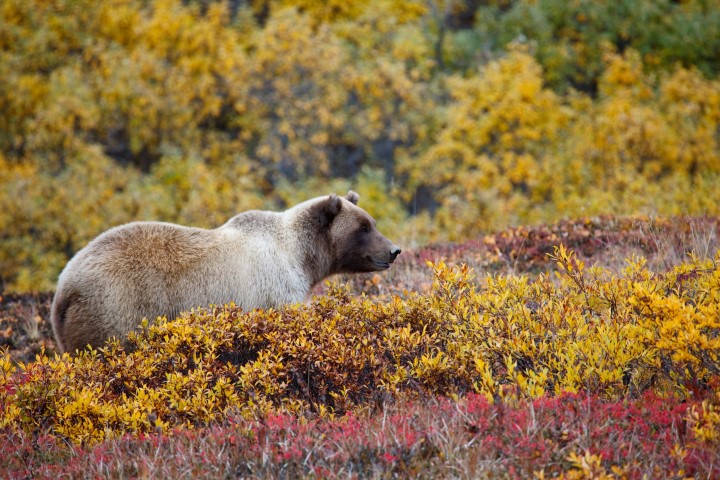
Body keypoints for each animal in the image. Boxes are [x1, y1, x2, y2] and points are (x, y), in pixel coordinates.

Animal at [51, 191, 401, 354]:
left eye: (371, 222)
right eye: (364, 228)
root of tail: (64, 289)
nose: (394, 250)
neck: (301, 257)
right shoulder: (274, 288)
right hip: (115, 309)